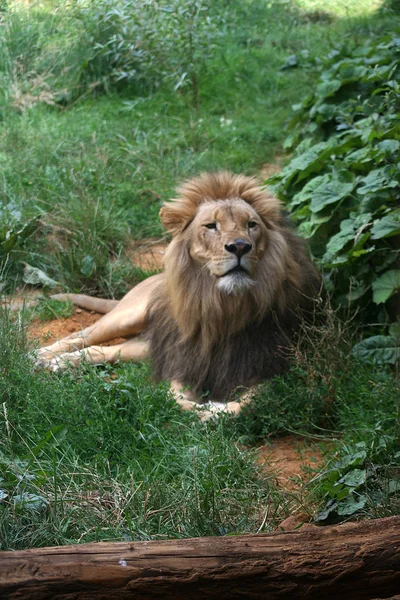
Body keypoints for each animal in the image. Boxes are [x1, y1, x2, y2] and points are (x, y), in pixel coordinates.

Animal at [36, 171, 320, 420]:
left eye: (252, 225)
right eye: (211, 226)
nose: (240, 246)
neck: (223, 309)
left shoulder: (275, 369)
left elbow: (248, 404)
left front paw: (215, 411)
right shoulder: (183, 359)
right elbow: (175, 399)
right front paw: (202, 410)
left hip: (147, 345)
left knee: (103, 350)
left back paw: (61, 363)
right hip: (130, 315)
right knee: (81, 335)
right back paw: (43, 357)